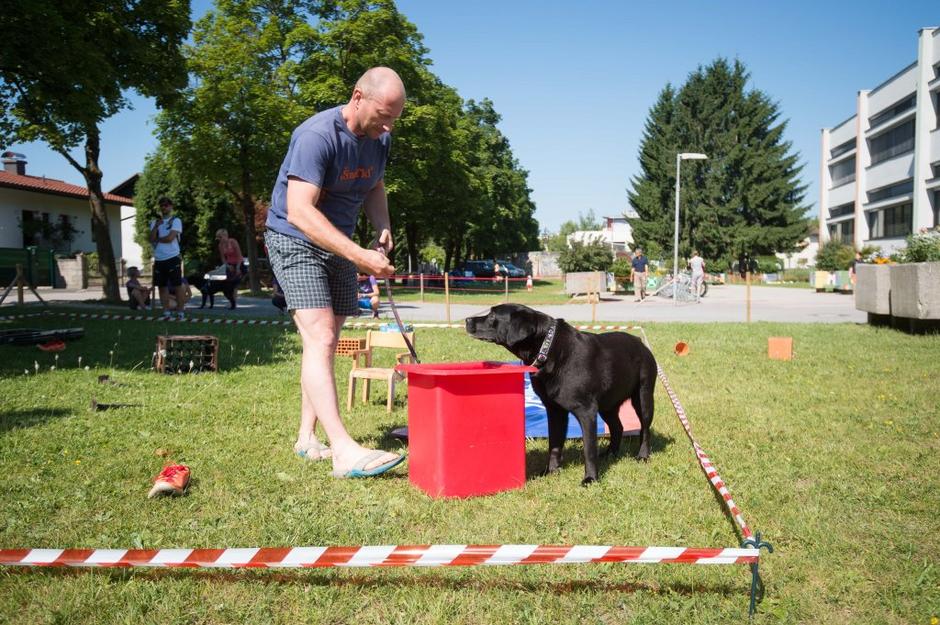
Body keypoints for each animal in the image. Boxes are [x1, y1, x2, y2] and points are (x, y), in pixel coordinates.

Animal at [466, 304, 656, 486]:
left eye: (492, 315)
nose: (467, 320)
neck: (548, 349)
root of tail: (640, 343)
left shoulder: (587, 411)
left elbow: (589, 449)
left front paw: (590, 478)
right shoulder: (554, 410)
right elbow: (554, 444)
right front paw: (550, 471)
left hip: (643, 397)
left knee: (645, 429)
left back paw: (642, 456)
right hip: (608, 405)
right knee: (618, 427)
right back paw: (610, 454)